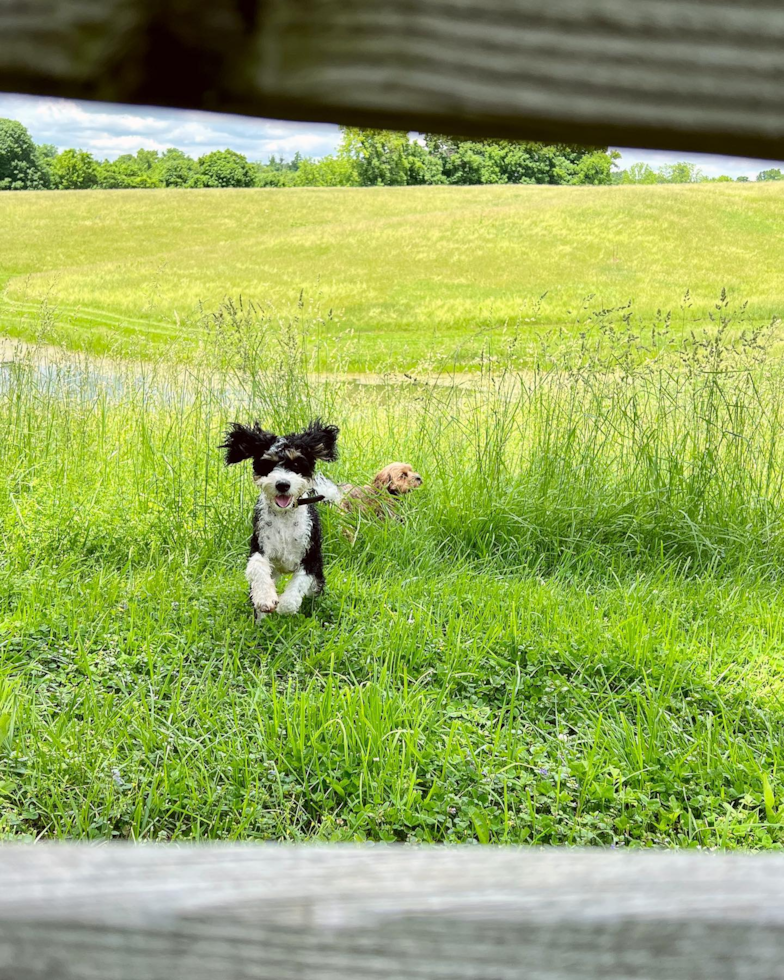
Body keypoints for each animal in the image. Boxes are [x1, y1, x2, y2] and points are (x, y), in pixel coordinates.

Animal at [222, 418, 342, 616]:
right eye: (268, 464)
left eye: (297, 464)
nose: (283, 484)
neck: (285, 519)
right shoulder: (259, 546)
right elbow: (258, 568)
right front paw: (265, 599)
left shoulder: (311, 559)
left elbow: (295, 592)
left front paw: (284, 606)